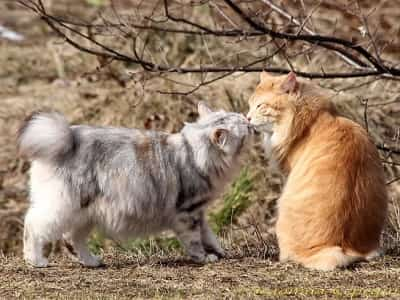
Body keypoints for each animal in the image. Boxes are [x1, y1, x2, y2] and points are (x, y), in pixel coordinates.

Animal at [18, 103, 253, 268]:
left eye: (242, 119)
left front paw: (220, 252)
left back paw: (92, 261)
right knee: (33, 225)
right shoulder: (188, 213)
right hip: (64, 206)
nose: (249, 119)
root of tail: (68, 138)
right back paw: (35, 260)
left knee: (73, 239)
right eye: (244, 126)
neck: (195, 152)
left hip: (85, 214)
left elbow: (209, 235)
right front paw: (204, 258)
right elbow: (195, 240)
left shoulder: (199, 212)